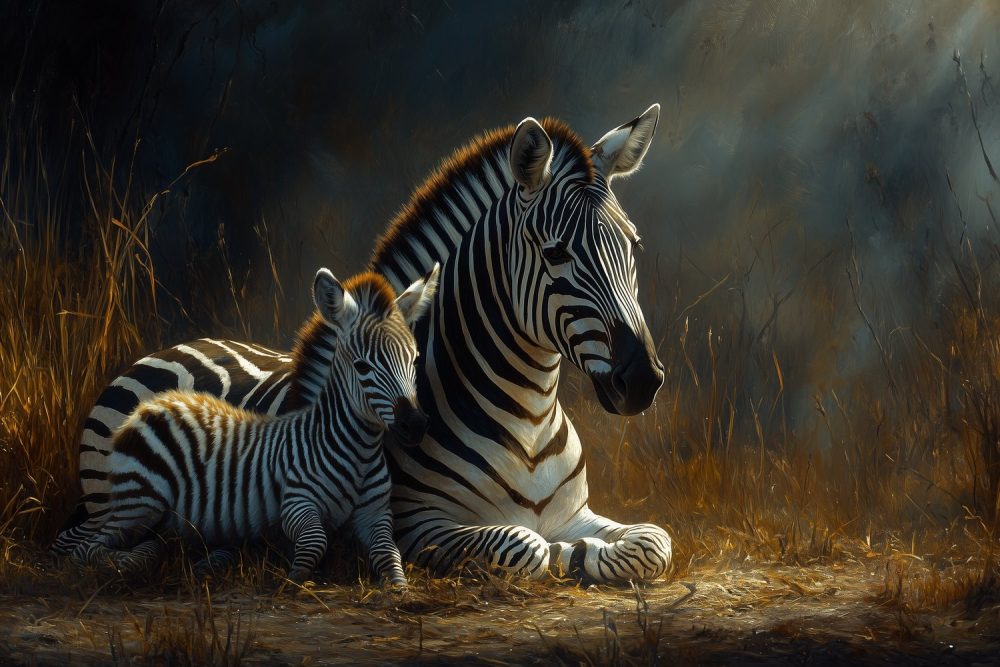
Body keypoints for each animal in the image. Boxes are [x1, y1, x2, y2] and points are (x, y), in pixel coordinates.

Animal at [71, 265, 439, 585]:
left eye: (415, 360)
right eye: (363, 367)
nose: (415, 424)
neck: (357, 452)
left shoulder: (376, 514)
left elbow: (391, 554)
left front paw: (399, 589)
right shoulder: (295, 503)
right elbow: (315, 541)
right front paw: (294, 580)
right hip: (136, 501)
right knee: (85, 546)